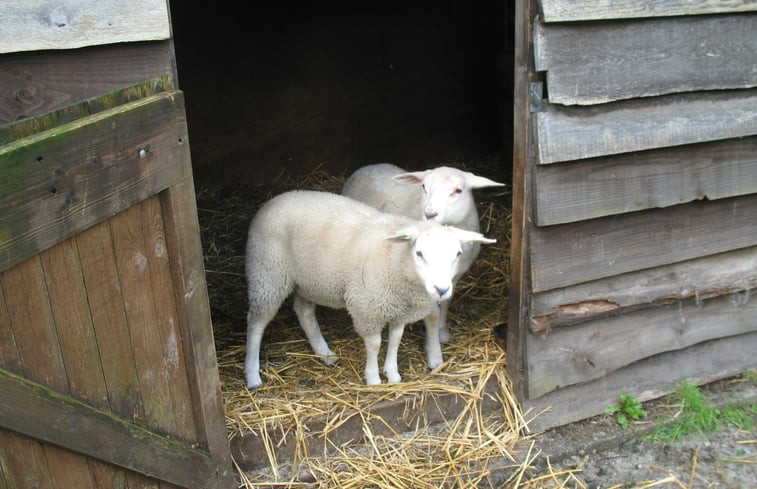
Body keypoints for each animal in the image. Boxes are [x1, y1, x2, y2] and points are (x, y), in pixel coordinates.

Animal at [244, 189, 496, 386]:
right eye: (419, 253)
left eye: (458, 254)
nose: (442, 290)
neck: (397, 261)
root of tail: (276, 199)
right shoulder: (368, 308)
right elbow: (375, 344)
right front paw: (374, 379)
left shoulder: (399, 309)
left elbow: (395, 339)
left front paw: (392, 374)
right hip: (267, 274)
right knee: (256, 323)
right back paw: (252, 375)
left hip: (309, 280)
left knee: (304, 312)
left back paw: (324, 353)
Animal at [342, 162, 504, 368]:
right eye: (424, 187)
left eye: (458, 191)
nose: (430, 214)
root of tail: (371, 165)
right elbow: (432, 314)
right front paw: (434, 354)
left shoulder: (453, 277)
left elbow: (447, 301)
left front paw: (442, 333)